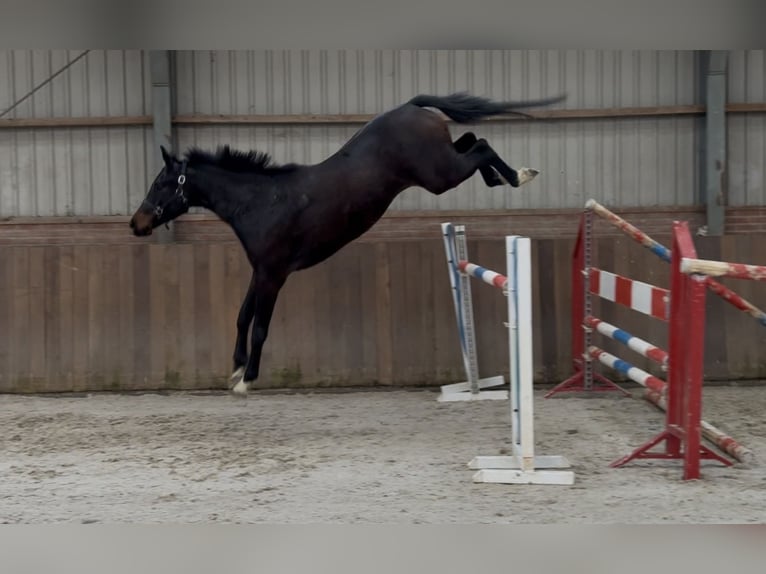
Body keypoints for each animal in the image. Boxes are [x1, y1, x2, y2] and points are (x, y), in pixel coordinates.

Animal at [129, 91, 565, 396]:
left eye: (161, 183)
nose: (136, 223)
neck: (261, 201)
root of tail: (411, 106)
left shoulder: (274, 275)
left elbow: (260, 328)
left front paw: (246, 380)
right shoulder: (262, 271)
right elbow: (241, 317)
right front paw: (235, 368)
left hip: (440, 175)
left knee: (482, 146)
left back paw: (518, 175)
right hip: (443, 165)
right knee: (475, 139)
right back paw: (506, 177)